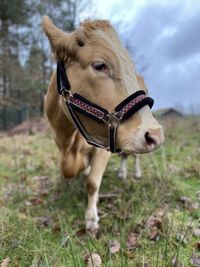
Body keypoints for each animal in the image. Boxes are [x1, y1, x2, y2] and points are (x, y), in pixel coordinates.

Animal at [42, 16, 164, 232]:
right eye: (100, 65)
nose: (156, 135)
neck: (70, 139)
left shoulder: (104, 142)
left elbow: (92, 183)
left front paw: (91, 219)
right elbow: (69, 171)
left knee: (132, 155)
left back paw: (134, 173)